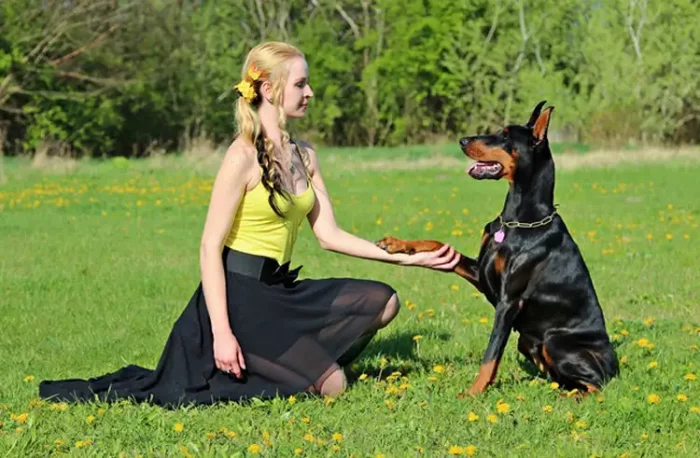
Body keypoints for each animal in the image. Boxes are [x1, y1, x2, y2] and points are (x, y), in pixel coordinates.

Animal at [378, 102, 616, 396]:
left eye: (504, 136)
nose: (462, 140)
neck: (518, 219)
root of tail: (615, 366)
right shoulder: (482, 273)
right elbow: (441, 246)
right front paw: (397, 244)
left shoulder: (509, 301)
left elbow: (491, 354)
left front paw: (471, 394)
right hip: (527, 341)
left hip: (556, 340)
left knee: (596, 384)